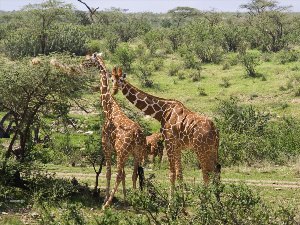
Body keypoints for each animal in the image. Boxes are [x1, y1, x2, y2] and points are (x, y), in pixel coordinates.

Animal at [82, 54, 148, 207]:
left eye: (89, 59)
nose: (82, 63)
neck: (109, 109)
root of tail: (138, 135)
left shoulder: (107, 145)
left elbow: (108, 173)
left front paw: (106, 198)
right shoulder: (119, 151)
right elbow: (124, 174)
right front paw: (125, 198)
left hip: (123, 153)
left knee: (118, 174)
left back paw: (106, 204)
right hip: (136, 153)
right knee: (134, 174)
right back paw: (135, 199)